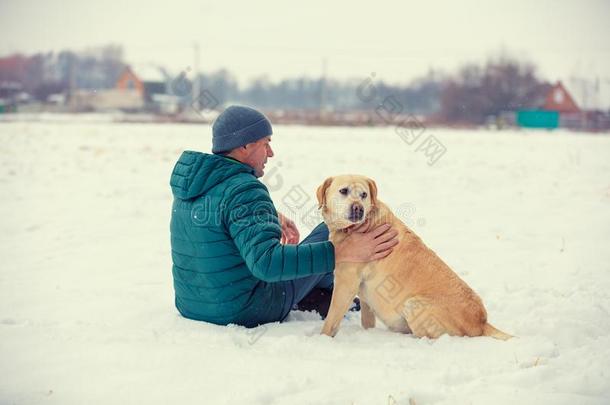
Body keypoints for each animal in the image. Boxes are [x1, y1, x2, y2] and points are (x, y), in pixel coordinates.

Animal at [316, 175, 510, 340]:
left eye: (364, 195)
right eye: (343, 191)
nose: (358, 208)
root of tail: (481, 322)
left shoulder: (345, 283)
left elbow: (331, 321)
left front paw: (321, 339)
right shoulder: (362, 295)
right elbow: (366, 321)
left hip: (413, 304)